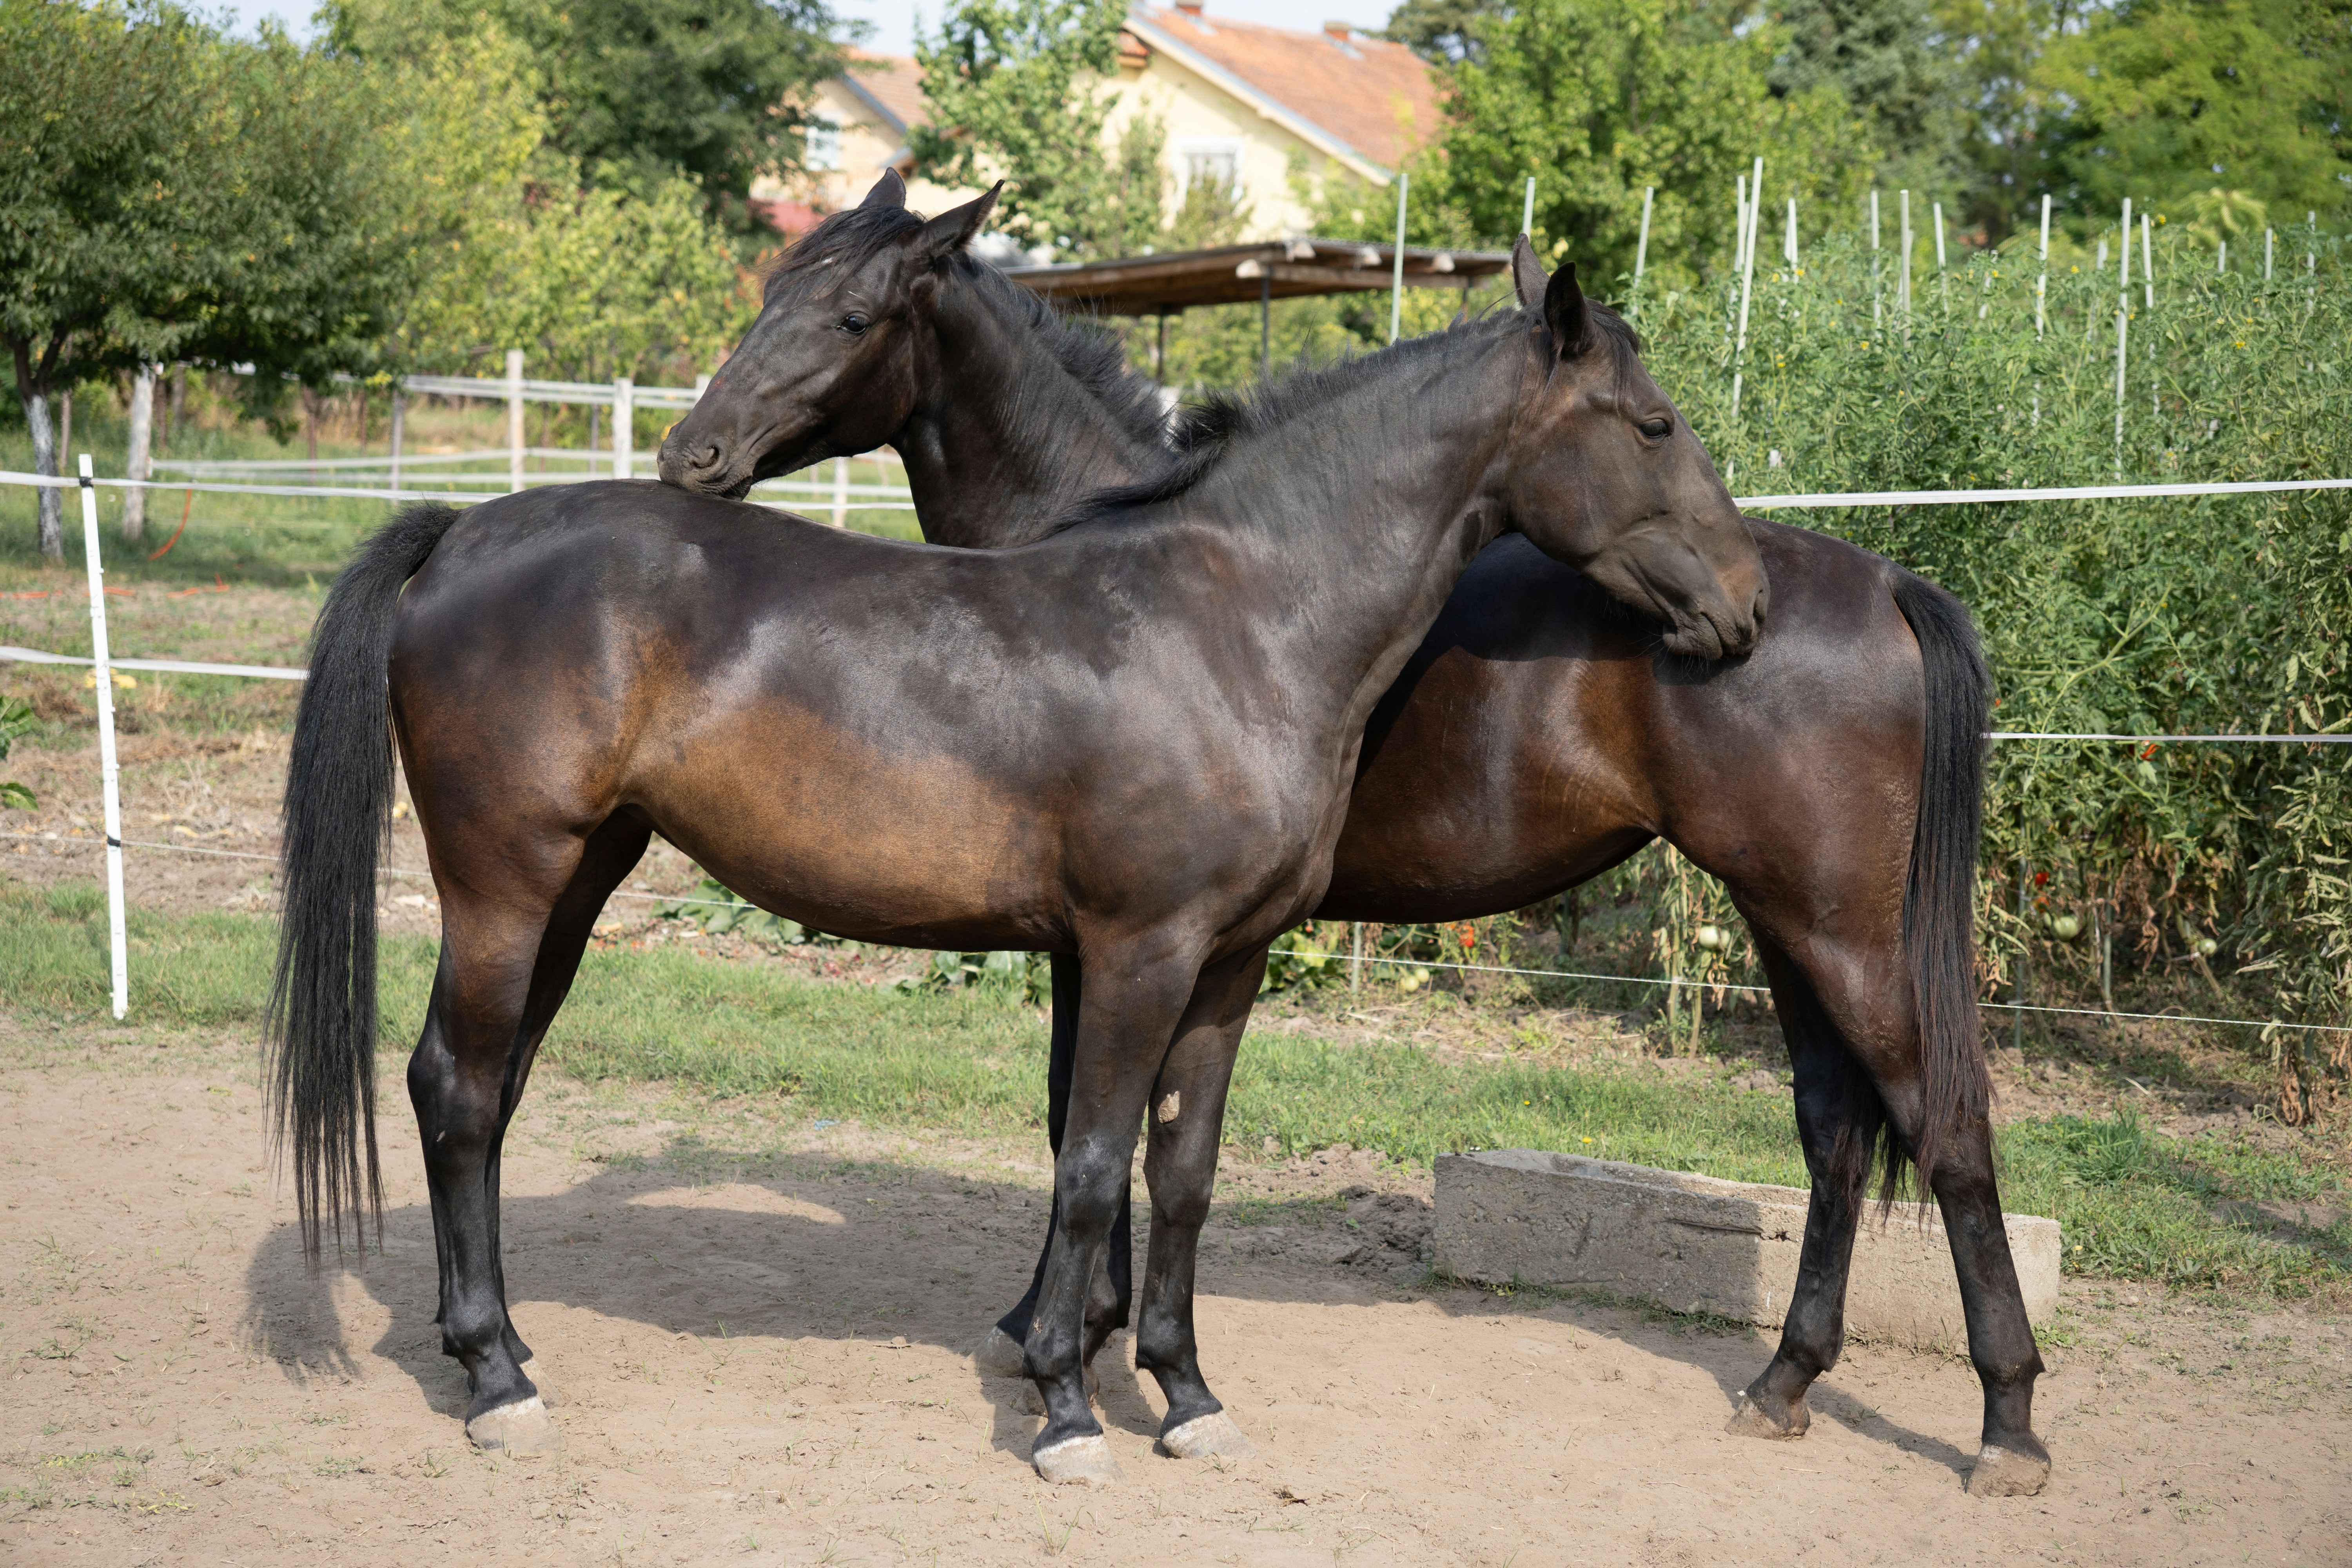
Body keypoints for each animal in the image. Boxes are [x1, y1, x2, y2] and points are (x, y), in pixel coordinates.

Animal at [268, 216, 1767, 1486]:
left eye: (848, 314)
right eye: (1654, 423)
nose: (1743, 604)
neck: (1236, 617)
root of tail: (462, 530)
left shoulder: (1226, 965)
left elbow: (1182, 1172)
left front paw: (1185, 1394)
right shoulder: (1132, 953)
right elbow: (1091, 1163)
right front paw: (1063, 1402)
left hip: (578, 882)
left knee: (494, 1089)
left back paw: (505, 1345)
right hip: (510, 882)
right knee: (458, 1087)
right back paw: (494, 1380)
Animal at [655, 173, 2051, 1497]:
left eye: (848, 318)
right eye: (770, 293)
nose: (689, 455)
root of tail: (1880, 580)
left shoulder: (1119, 942)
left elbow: (1085, 1131)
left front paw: (1070, 1341)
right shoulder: (1115, 942)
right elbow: (1114, 1133)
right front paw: (1097, 1341)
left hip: (1840, 931)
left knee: (1945, 1129)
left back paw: (2007, 1425)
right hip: (1785, 923)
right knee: (1835, 1135)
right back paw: (1785, 1380)